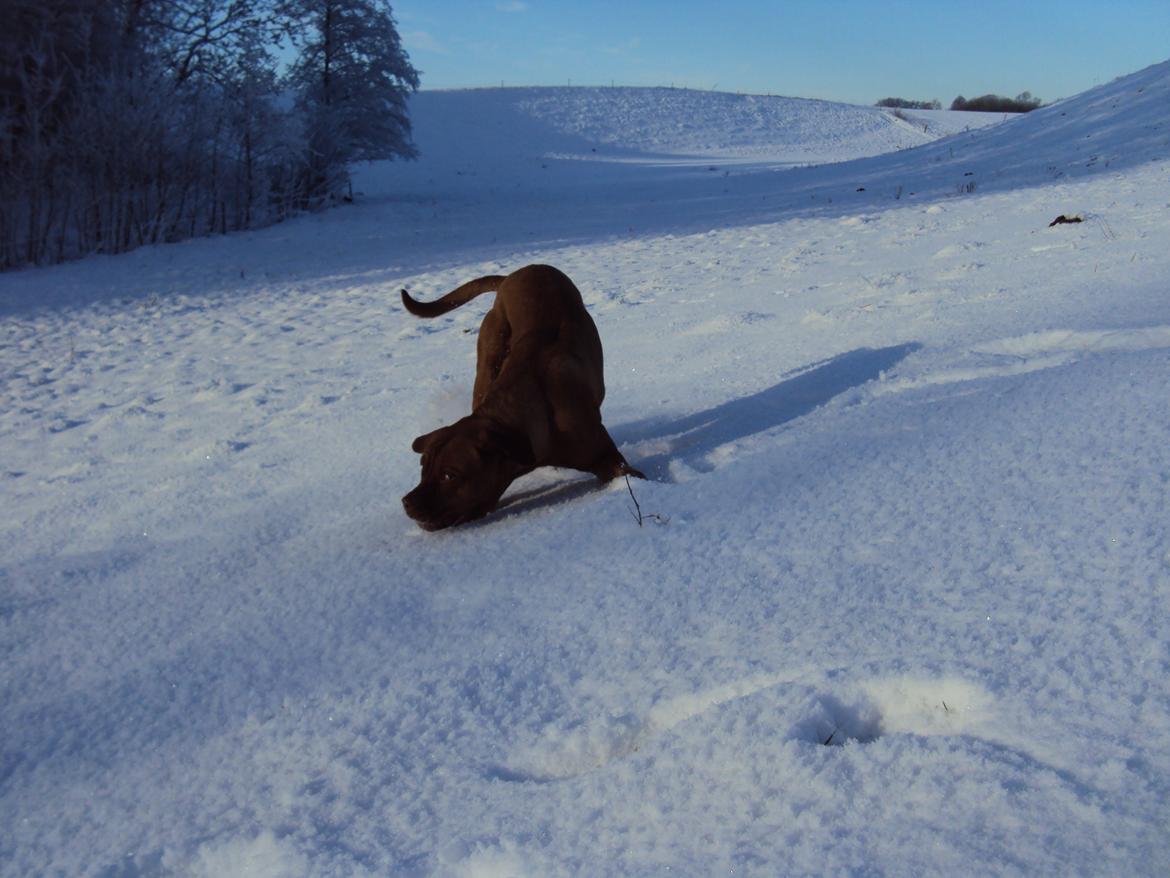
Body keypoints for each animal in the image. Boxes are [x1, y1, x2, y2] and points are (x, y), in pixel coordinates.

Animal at [400, 264, 641, 533]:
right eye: (424, 468)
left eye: (448, 475)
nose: (407, 502)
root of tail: (516, 273)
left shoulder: (604, 456)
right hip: (489, 356)